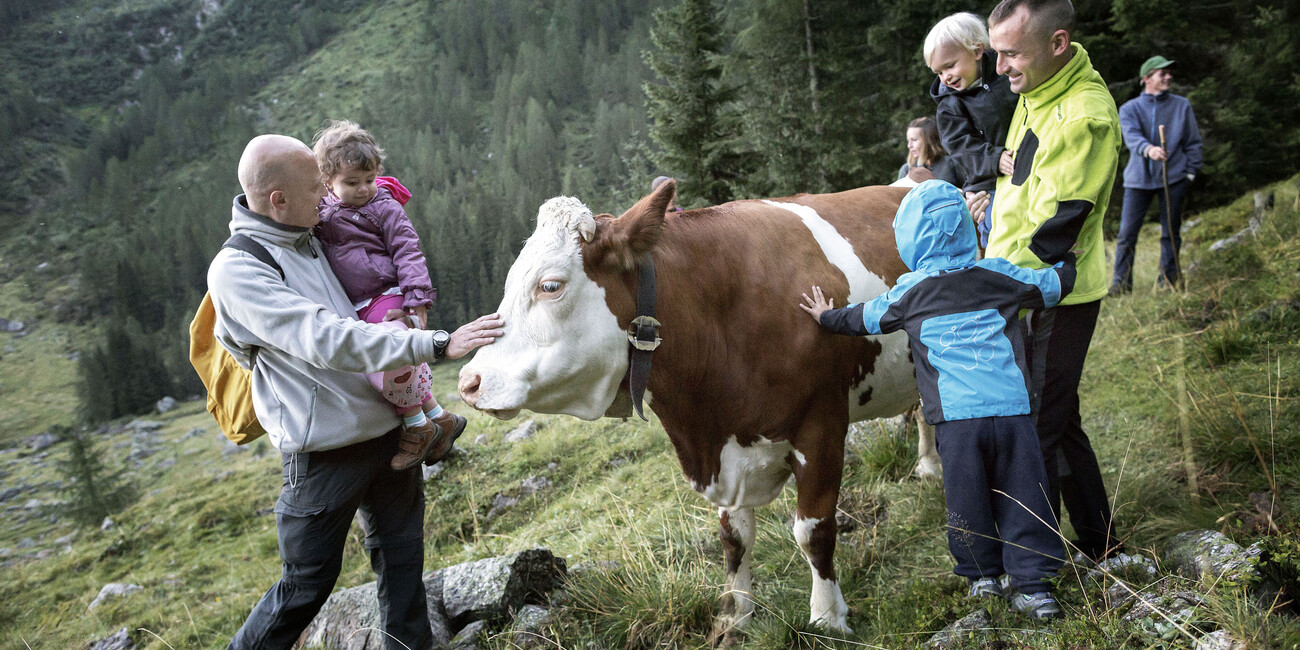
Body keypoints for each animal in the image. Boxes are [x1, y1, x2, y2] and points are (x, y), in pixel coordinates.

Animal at [457, 180, 935, 637]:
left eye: (550, 285)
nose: (469, 382)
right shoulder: (724, 450)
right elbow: (734, 538)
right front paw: (736, 617)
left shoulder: (821, 427)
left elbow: (813, 531)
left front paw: (828, 617)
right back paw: (929, 466)